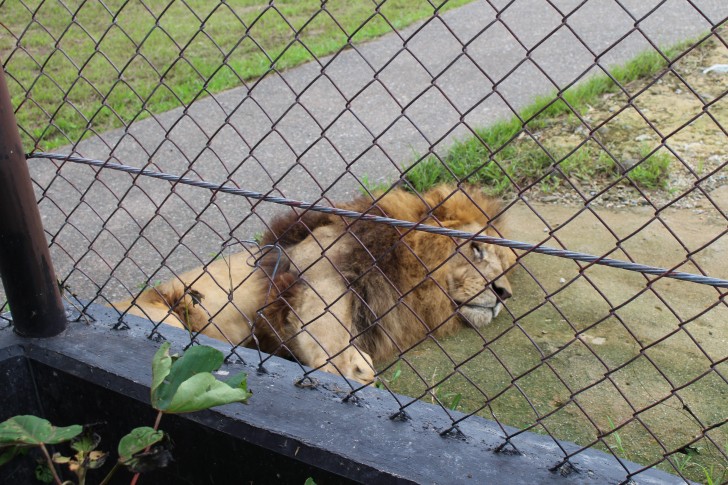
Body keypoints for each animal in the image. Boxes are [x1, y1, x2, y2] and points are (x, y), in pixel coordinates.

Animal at [114, 184, 516, 382]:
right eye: (477, 250)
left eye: (508, 266)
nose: (504, 294)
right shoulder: (318, 264)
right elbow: (326, 322)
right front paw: (351, 369)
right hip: (161, 318)